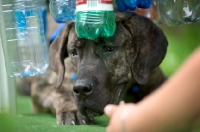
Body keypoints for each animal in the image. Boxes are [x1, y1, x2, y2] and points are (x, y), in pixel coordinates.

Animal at [17, 11, 167, 125]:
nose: (81, 89)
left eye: (109, 48)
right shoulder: (43, 85)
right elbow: (58, 93)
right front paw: (71, 109)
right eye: (73, 52)